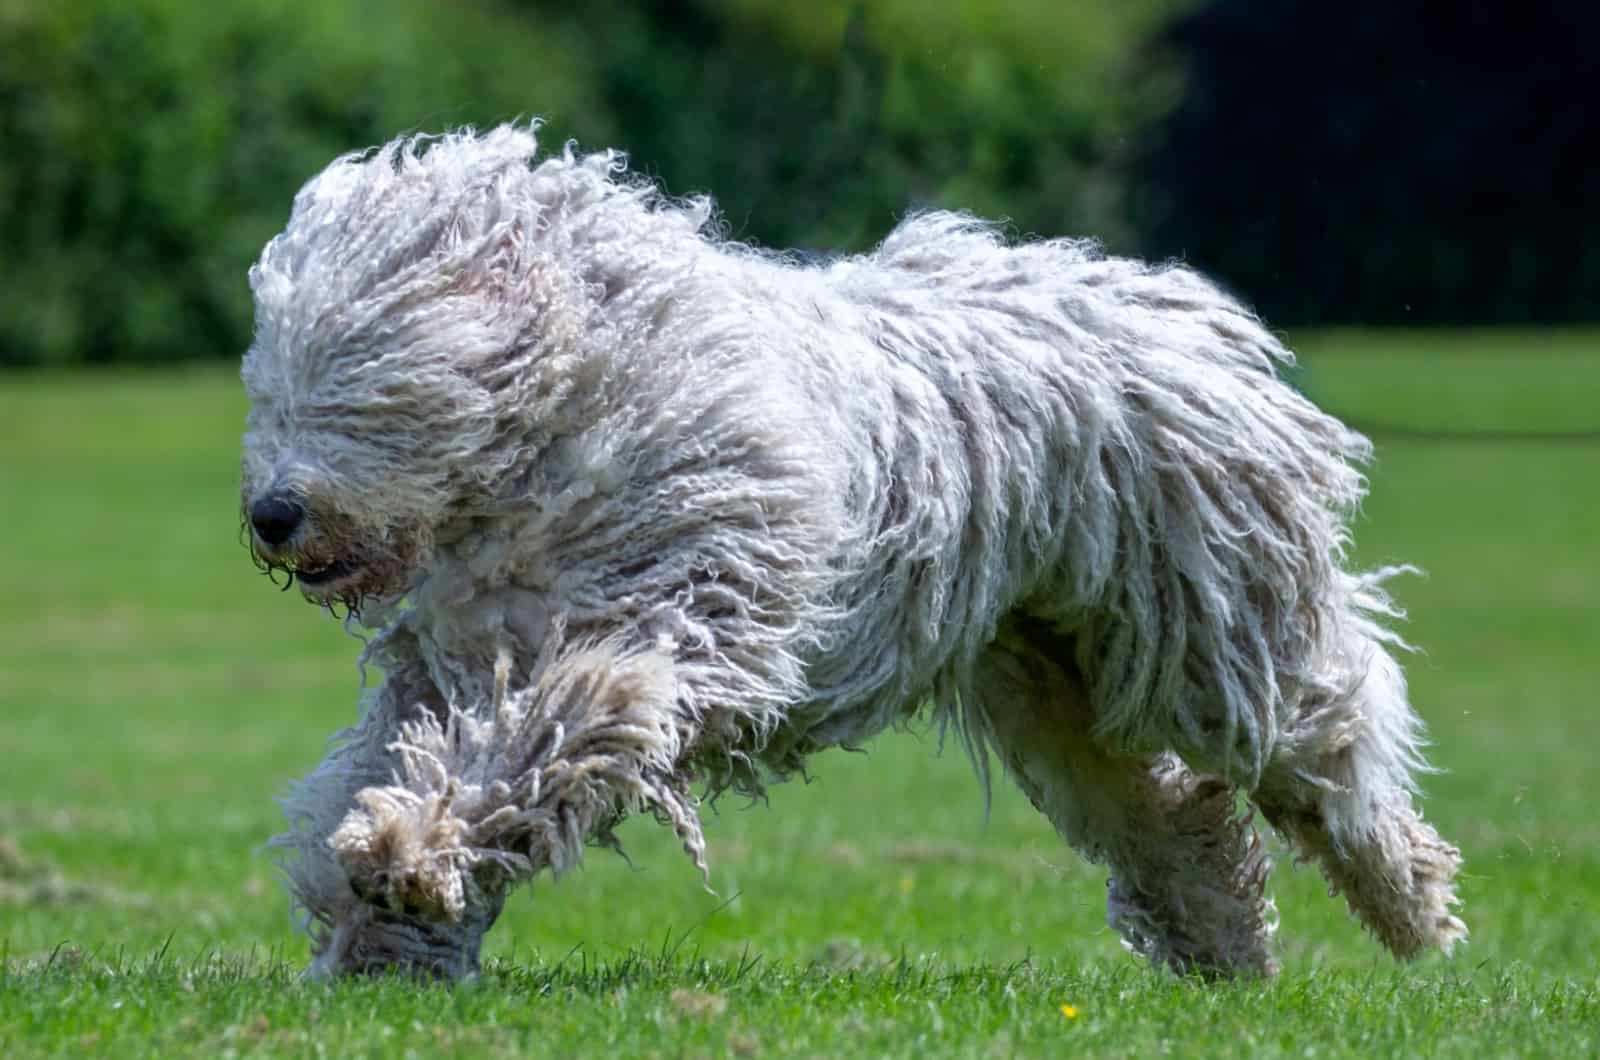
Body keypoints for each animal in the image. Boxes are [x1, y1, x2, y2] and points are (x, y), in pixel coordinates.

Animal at [240, 122, 1465, 979]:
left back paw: (1409, 901)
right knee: (1169, 817)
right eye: (271, 386)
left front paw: (410, 850)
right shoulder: (452, 654)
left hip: (1207, 632)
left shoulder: (673, 618)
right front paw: (381, 928)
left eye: (364, 387)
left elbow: (547, 732)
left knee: (1327, 737)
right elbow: (408, 749)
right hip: (1047, 669)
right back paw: (1227, 945)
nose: (271, 514)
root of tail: (1181, 316)